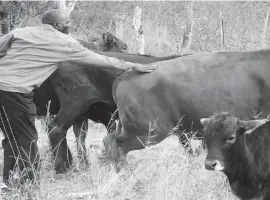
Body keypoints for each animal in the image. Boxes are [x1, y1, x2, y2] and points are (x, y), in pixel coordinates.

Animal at [33, 50, 185, 173]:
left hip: (82, 111)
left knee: (77, 135)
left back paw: (82, 165)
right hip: (75, 104)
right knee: (56, 129)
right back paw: (62, 168)